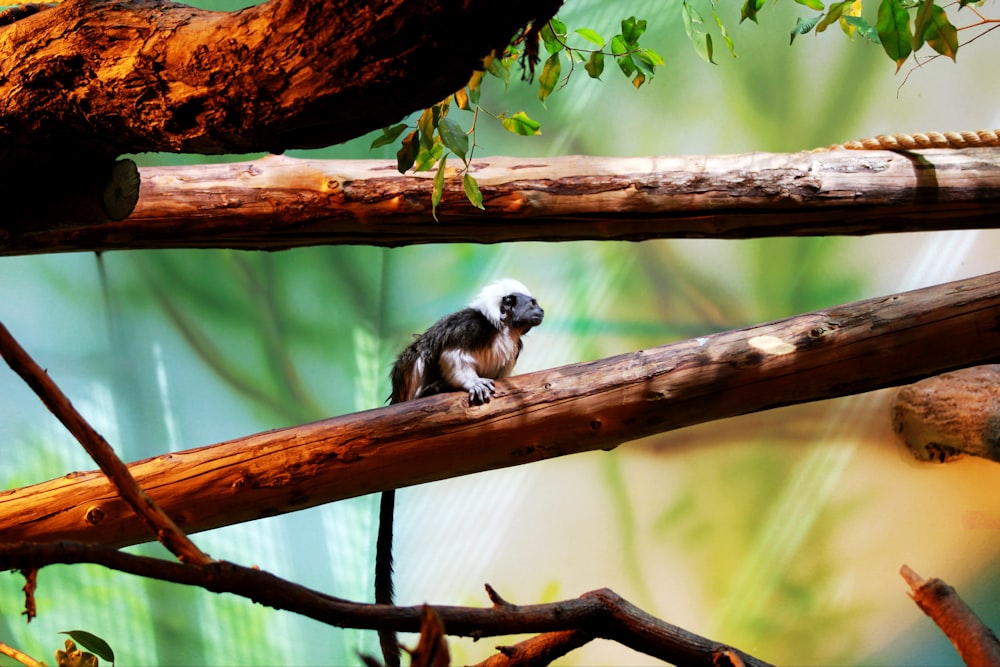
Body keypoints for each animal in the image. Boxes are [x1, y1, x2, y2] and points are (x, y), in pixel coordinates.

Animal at [376, 280, 548, 664]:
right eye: (531, 303)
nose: (542, 311)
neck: (503, 329)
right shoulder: (471, 328)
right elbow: (451, 357)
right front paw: (471, 384)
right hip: (409, 377)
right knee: (421, 351)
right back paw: (431, 389)